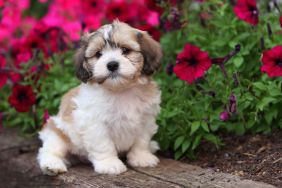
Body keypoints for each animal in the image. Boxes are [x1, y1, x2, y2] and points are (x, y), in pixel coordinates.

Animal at [37, 20, 163, 175]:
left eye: (125, 50)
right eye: (99, 54)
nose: (112, 64)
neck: (120, 90)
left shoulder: (146, 120)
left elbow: (141, 141)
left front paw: (142, 157)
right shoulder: (95, 124)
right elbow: (103, 145)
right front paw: (109, 164)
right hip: (57, 132)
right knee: (50, 150)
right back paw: (52, 165)